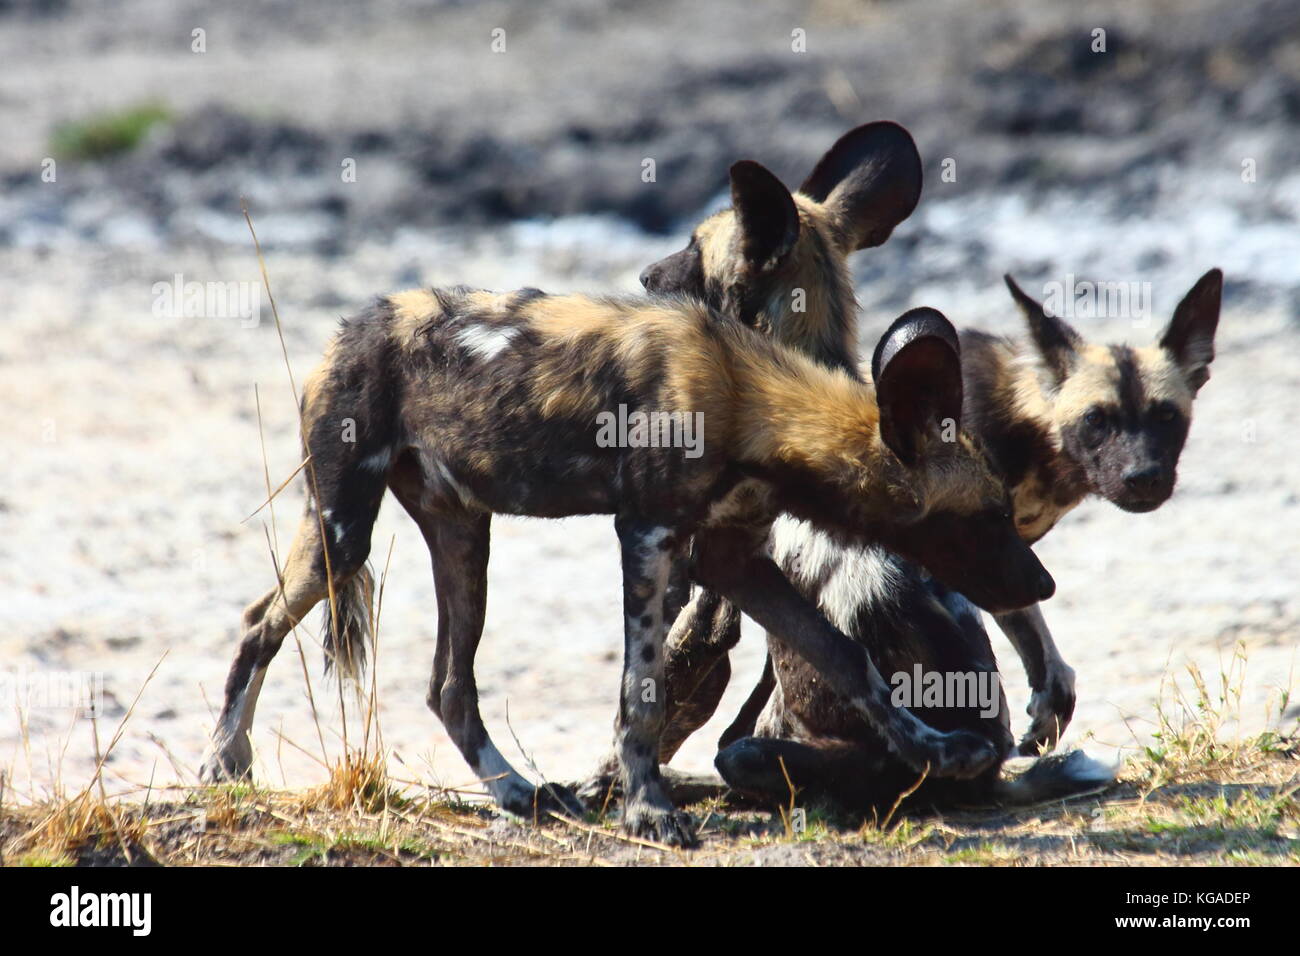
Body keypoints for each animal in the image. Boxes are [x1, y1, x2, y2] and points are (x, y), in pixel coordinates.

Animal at [205, 273, 1055, 848]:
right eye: (985, 515)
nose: (1044, 582)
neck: (749, 402)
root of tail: (350, 326)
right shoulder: (647, 538)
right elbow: (641, 693)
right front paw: (650, 811)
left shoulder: (733, 561)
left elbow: (849, 660)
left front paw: (933, 751)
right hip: (341, 531)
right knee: (255, 627)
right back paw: (223, 762)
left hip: (465, 541)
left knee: (449, 686)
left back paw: (518, 792)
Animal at [634, 123, 1222, 811]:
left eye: (692, 248)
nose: (645, 275)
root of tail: (989, 777)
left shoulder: (715, 593)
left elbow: (667, 702)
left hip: (761, 756)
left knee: (737, 753)